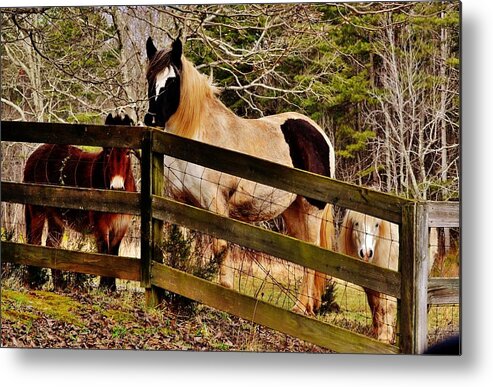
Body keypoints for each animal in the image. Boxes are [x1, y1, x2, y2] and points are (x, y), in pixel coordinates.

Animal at [23, 112, 136, 292]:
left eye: (128, 153)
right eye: (108, 152)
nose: (117, 187)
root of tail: (36, 154)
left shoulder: (120, 227)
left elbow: (114, 253)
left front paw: (111, 289)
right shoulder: (101, 226)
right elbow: (104, 252)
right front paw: (104, 288)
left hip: (56, 217)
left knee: (51, 244)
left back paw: (59, 285)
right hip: (37, 210)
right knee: (34, 241)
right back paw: (34, 281)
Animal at [142, 36, 334, 316]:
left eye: (172, 81)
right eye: (150, 78)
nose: (151, 118)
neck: (199, 137)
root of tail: (318, 133)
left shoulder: (216, 202)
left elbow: (221, 248)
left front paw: (224, 296)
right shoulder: (180, 202)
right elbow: (185, 246)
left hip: (311, 210)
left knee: (312, 258)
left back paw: (300, 308)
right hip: (292, 211)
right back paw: (307, 307)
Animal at [320, 208, 438, 344]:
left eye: (376, 225)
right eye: (356, 223)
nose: (366, 253)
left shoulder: (391, 282)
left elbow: (386, 307)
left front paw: (385, 336)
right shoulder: (370, 284)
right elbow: (375, 306)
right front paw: (376, 332)